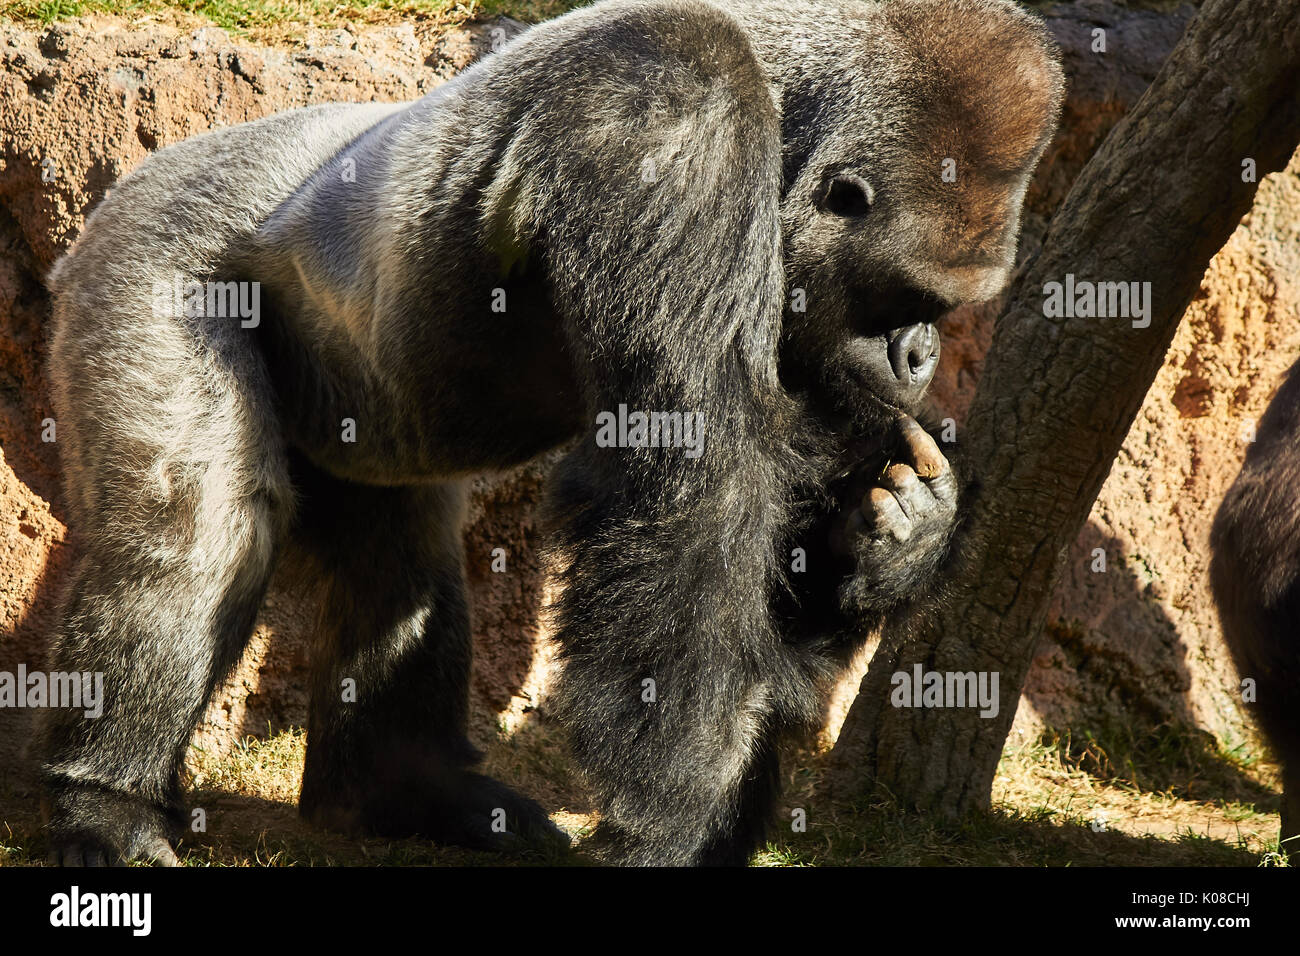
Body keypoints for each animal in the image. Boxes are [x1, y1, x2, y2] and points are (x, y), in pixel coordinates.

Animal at [40, 0, 1060, 868]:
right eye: (910, 298)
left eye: (942, 310)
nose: (924, 355)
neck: (785, 111)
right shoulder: (670, 123)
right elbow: (694, 493)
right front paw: (680, 817)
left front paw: (896, 540)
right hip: (148, 254)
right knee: (199, 532)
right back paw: (106, 807)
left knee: (402, 556)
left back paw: (397, 788)